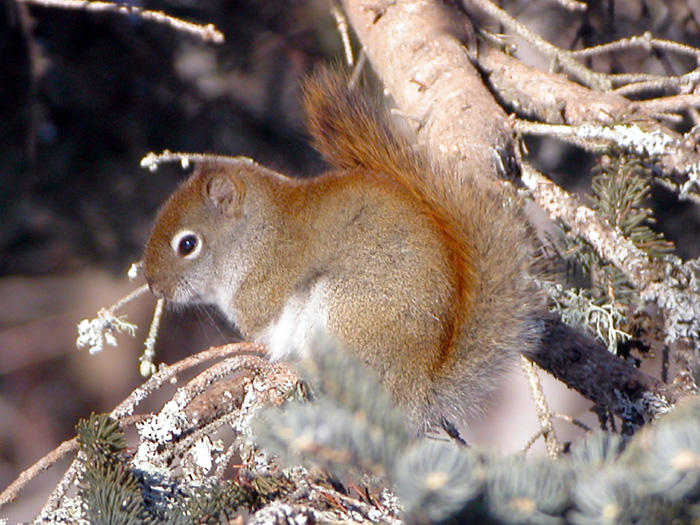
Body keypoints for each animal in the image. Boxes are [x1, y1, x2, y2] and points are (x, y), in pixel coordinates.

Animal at [144, 66, 548, 434]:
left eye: (188, 244)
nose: (154, 287)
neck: (254, 235)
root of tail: (417, 391)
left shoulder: (265, 285)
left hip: (342, 310)